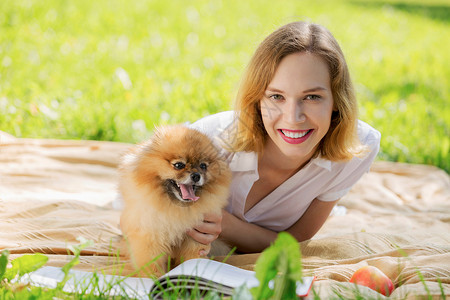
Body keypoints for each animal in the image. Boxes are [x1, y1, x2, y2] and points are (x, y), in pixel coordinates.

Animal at [118, 125, 230, 276]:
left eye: (203, 166)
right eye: (178, 165)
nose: (196, 175)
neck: (176, 207)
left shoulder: (194, 237)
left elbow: (192, 257)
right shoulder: (151, 236)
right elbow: (152, 263)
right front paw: (153, 278)